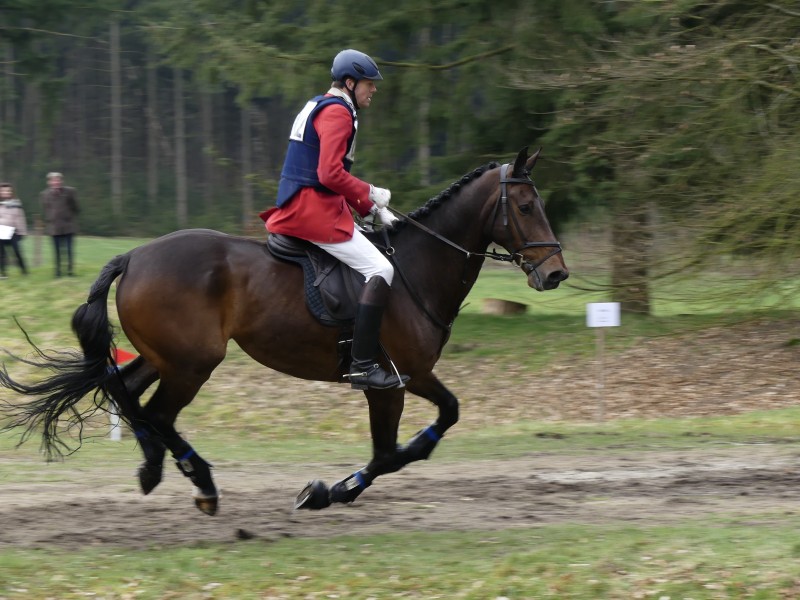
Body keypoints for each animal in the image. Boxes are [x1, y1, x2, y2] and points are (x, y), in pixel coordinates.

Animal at [0, 146, 568, 516]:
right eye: (525, 207)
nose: (556, 273)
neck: (415, 269)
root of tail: (134, 255)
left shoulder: (412, 377)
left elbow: (436, 424)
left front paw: (335, 488)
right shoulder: (393, 381)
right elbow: (391, 452)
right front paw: (332, 490)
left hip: (167, 356)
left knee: (125, 391)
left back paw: (154, 467)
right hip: (192, 363)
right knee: (156, 411)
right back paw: (201, 482)